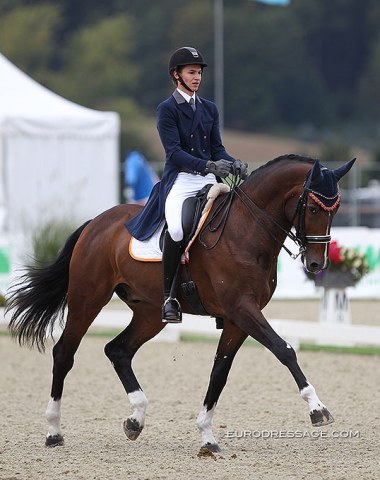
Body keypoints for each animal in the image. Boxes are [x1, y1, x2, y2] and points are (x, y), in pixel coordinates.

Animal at [7, 155, 354, 454]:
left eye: (335, 210)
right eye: (313, 208)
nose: (316, 264)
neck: (246, 231)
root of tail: (95, 223)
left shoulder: (237, 318)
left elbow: (220, 371)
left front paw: (207, 436)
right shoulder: (242, 308)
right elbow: (284, 349)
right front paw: (318, 409)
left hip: (150, 313)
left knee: (118, 350)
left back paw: (135, 419)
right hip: (87, 298)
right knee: (64, 353)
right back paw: (53, 432)